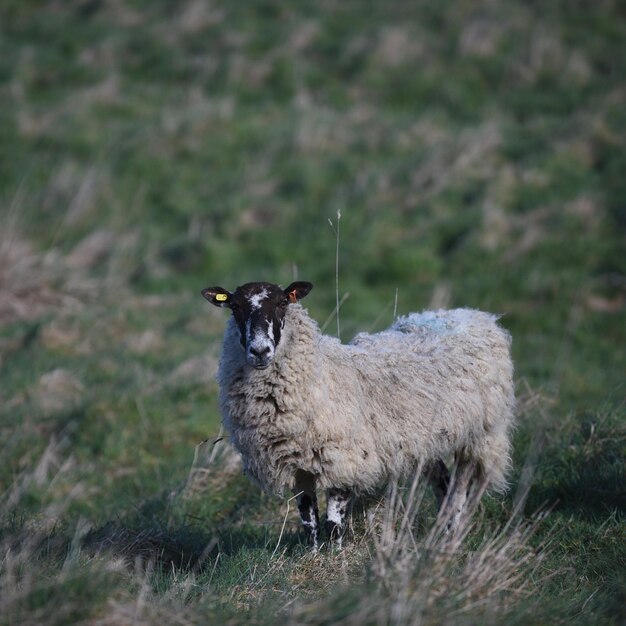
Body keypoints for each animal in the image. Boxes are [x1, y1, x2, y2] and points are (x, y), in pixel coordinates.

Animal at [202, 280, 516, 548]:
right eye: (235, 307)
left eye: (282, 304)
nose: (260, 351)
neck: (322, 375)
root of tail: (469, 313)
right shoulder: (297, 467)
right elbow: (309, 523)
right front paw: (314, 556)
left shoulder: (344, 459)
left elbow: (333, 525)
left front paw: (334, 561)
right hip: (427, 440)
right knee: (442, 481)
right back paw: (441, 530)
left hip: (481, 431)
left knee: (461, 485)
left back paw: (453, 533)